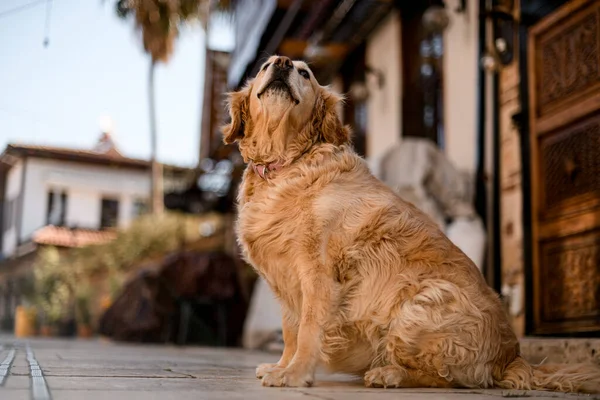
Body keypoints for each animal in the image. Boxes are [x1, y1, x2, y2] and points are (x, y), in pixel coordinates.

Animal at [221, 54, 600, 392]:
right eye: (265, 66)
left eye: (305, 73)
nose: (283, 63)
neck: (287, 162)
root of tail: (512, 357)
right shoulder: (284, 279)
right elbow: (290, 331)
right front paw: (281, 365)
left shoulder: (318, 273)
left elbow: (308, 329)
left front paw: (295, 373)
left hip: (419, 305)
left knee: (451, 378)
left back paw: (389, 374)